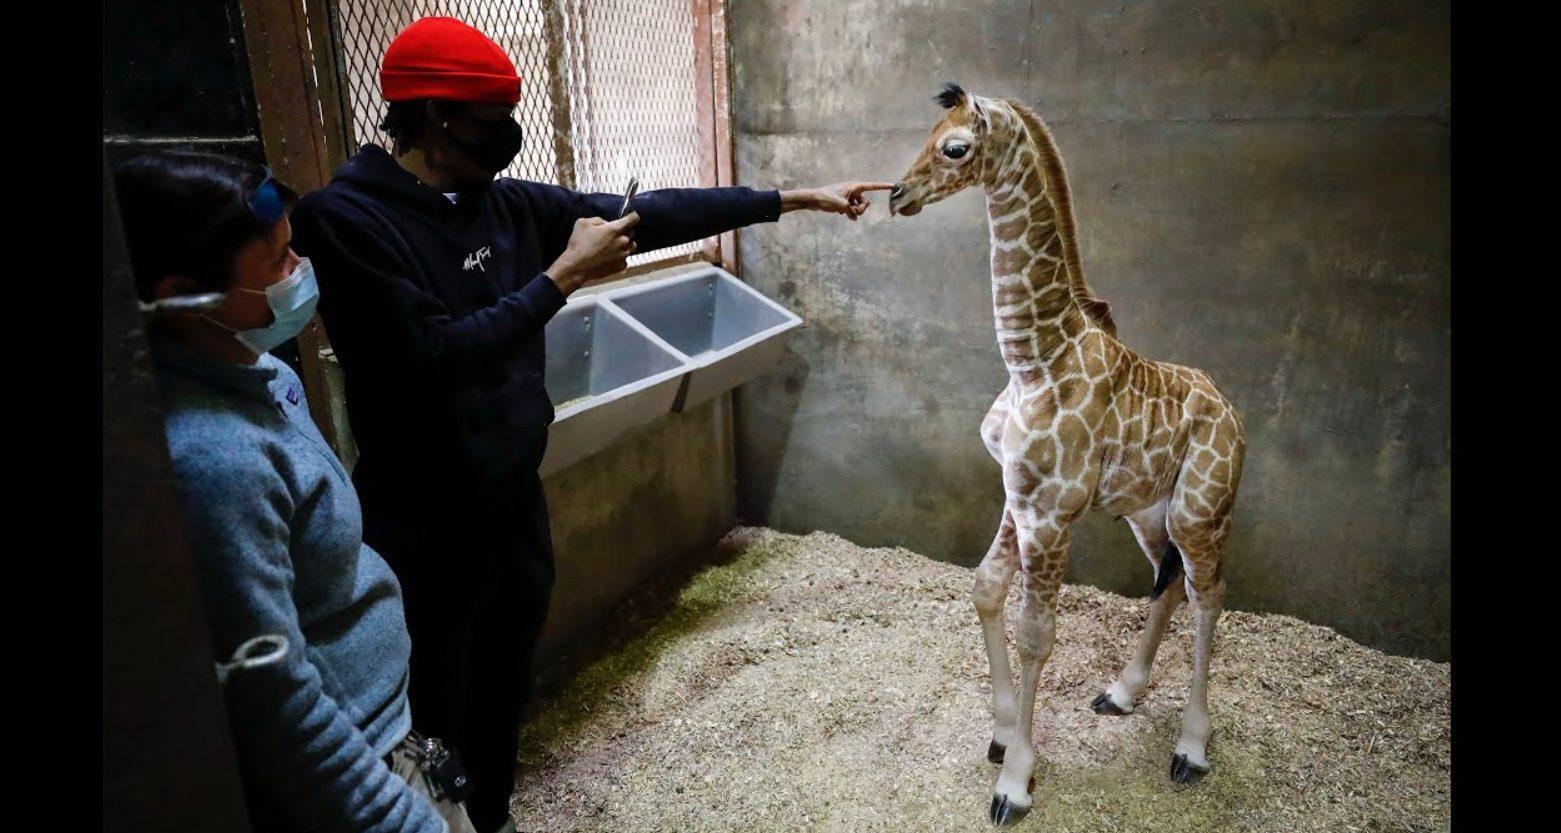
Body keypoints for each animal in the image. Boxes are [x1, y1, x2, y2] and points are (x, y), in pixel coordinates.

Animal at [888, 83, 1246, 827]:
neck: (1033, 358)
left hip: (1202, 511)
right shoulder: (1017, 494)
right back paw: (1122, 691)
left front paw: (1016, 780)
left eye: (954, 146)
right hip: (1149, 513)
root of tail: (1233, 412)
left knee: (1209, 593)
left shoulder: (1050, 512)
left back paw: (1191, 748)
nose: (896, 194)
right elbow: (985, 588)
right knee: (1168, 583)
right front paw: (1001, 734)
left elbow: (1036, 633)